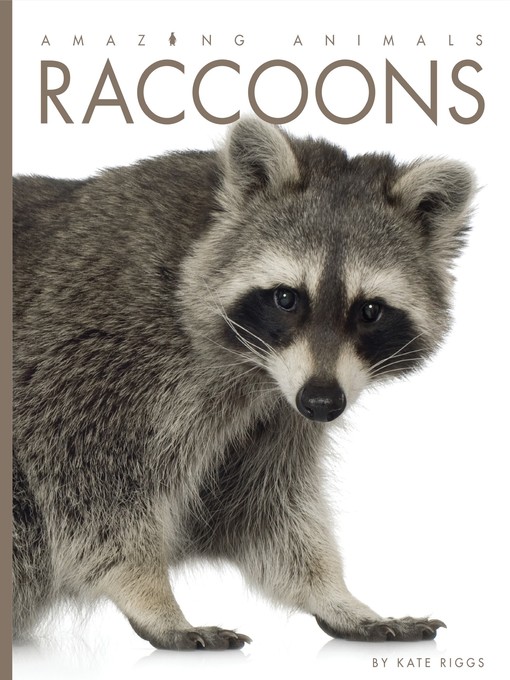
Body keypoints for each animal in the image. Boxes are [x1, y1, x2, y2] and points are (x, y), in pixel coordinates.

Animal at [13, 118, 475, 650]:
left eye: (370, 310)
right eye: (286, 298)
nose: (322, 402)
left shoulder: (278, 410)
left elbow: (266, 509)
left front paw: (333, 594)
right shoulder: (95, 349)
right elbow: (89, 482)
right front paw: (150, 593)